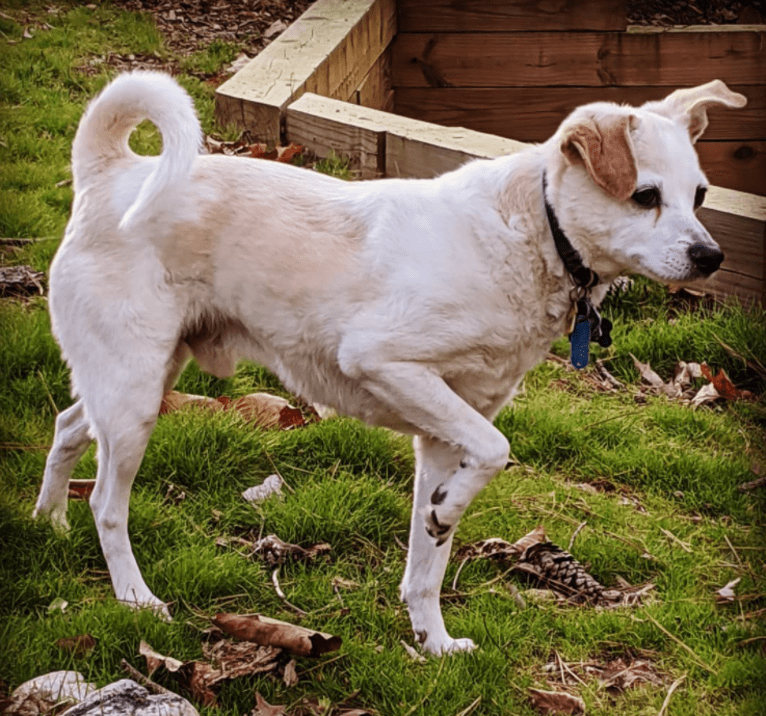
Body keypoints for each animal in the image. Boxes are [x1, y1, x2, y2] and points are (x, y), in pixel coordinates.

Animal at [33, 72, 748, 656]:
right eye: (645, 196)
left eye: (700, 195)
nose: (712, 257)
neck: (532, 231)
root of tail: (109, 169)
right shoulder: (386, 364)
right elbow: (496, 451)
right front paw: (448, 514)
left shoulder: (444, 435)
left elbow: (427, 563)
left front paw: (433, 640)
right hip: (134, 398)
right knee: (108, 504)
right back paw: (134, 597)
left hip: (136, 381)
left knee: (68, 427)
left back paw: (48, 523)